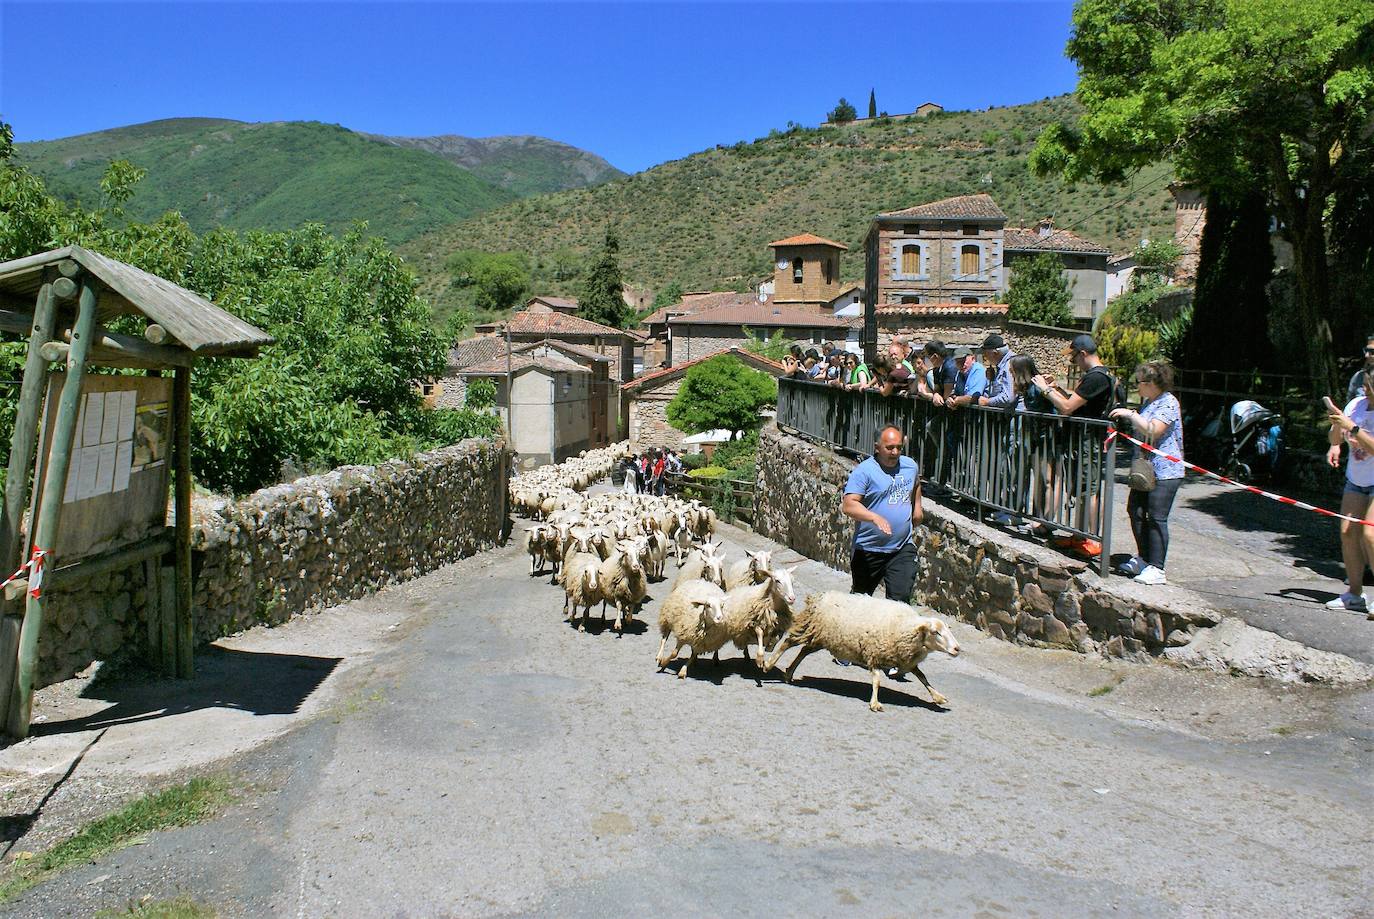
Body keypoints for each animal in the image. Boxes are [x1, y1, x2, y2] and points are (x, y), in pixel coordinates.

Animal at [769, 590, 961, 714]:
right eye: (936, 632)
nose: (957, 649)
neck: (905, 627)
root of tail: (818, 597)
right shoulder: (874, 654)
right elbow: (877, 681)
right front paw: (875, 703)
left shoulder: (906, 660)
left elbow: (923, 677)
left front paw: (938, 697)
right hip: (810, 628)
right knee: (787, 643)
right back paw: (769, 664)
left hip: (821, 638)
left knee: (803, 651)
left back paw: (789, 673)